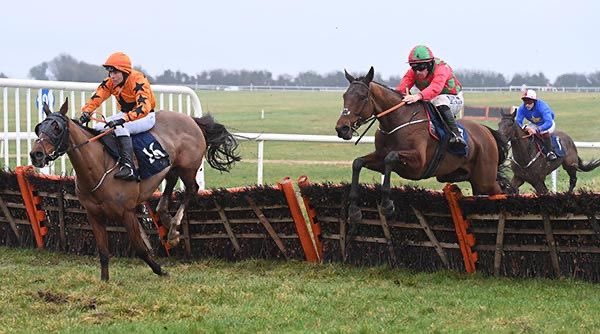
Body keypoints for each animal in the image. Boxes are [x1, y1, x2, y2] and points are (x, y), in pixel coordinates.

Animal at [28, 98, 239, 280]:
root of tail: (192, 120)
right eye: (39, 127)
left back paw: (173, 231)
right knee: (170, 183)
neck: (98, 167)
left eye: (56, 128)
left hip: (188, 168)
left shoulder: (127, 213)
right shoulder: (94, 214)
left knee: (191, 190)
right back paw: (165, 217)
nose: (36, 154)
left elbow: (140, 248)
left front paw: (160, 270)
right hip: (171, 166)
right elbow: (103, 251)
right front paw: (104, 281)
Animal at [336, 67, 508, 223]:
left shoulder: (418, 164)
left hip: (485, 180)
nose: (341, 128)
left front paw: (387, 205)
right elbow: (358, 163)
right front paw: (354, 210)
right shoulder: (379, 156)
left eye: (362, 97)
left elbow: (390, 157)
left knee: (499, 191)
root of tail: (486, 131)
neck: (397, 120)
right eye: (344, 95)